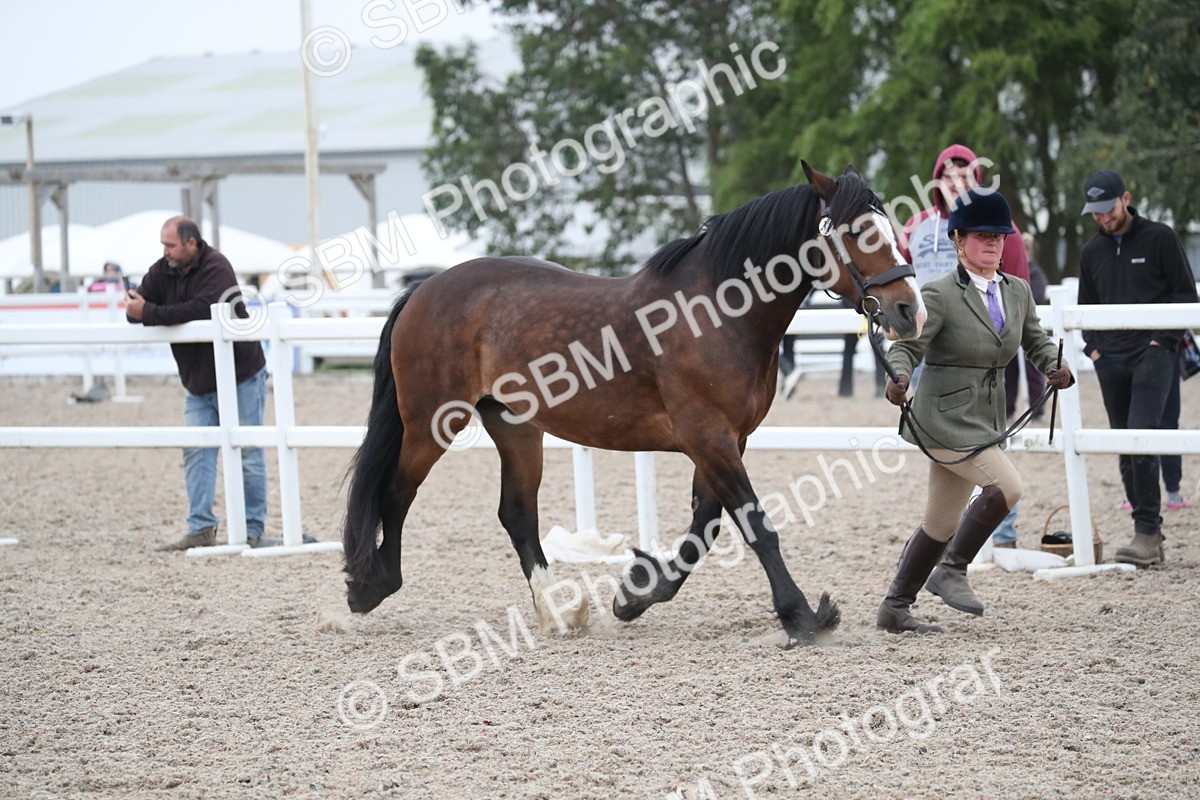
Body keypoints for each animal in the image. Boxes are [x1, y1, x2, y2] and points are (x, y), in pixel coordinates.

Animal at [342, 162, 927, 646]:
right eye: (858, 233)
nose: (909, 311)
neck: (717, 313)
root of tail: (422, 291)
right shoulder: (708, 437)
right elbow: (755, 525)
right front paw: (802, 616)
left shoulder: (725, 441)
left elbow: (705, 529)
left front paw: (637, 593)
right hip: (432, 423)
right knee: (395, 493)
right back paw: (371, 586)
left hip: (514, 425)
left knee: (517, 514)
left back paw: (557, 614)